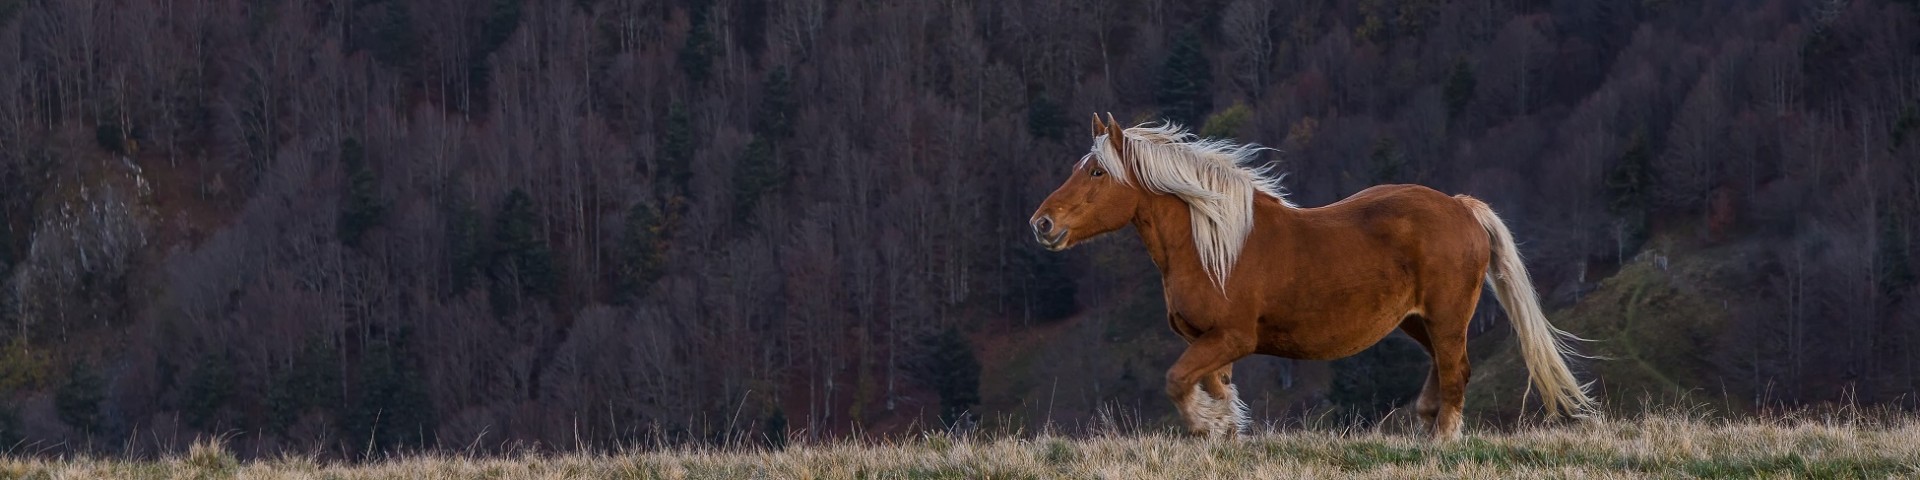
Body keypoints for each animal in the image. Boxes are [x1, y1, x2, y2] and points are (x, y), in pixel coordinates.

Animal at [1029, 114, 1597, 439]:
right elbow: (1211, 388)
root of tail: (1462, 207)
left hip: (1447, 315)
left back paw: (1441, 443)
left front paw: (1210, 427)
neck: (1211, 244)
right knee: (1445, 367)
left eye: (1097, 172)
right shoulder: (1209, 344)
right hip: (1418, 320)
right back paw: (1426, 425)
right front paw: (1225, 432)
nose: (1043, 223)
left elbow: (1178, 383)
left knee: (1456, 372)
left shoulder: (1231, 337)